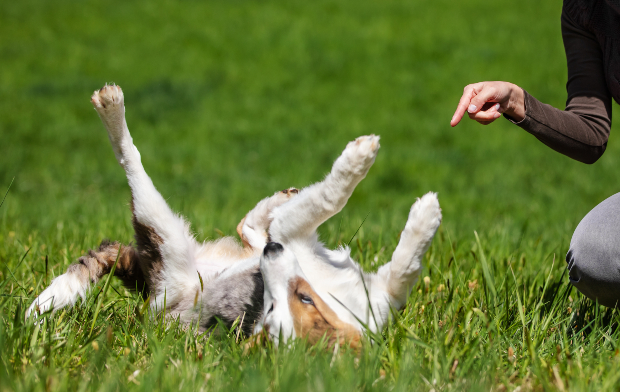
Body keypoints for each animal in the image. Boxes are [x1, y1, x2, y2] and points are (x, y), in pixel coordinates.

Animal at [27, 86, 440, 346]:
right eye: (272, 306)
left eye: (299, 301)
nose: (273, 254)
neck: (335, 299)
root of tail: (148, 287)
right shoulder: (295, 233)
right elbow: (330, 198)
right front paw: (363, 161)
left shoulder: (381, 296)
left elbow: (403, 269)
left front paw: (425, 216)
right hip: (162, 230)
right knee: (131, 159)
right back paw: (112, 108)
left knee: (251, 227)